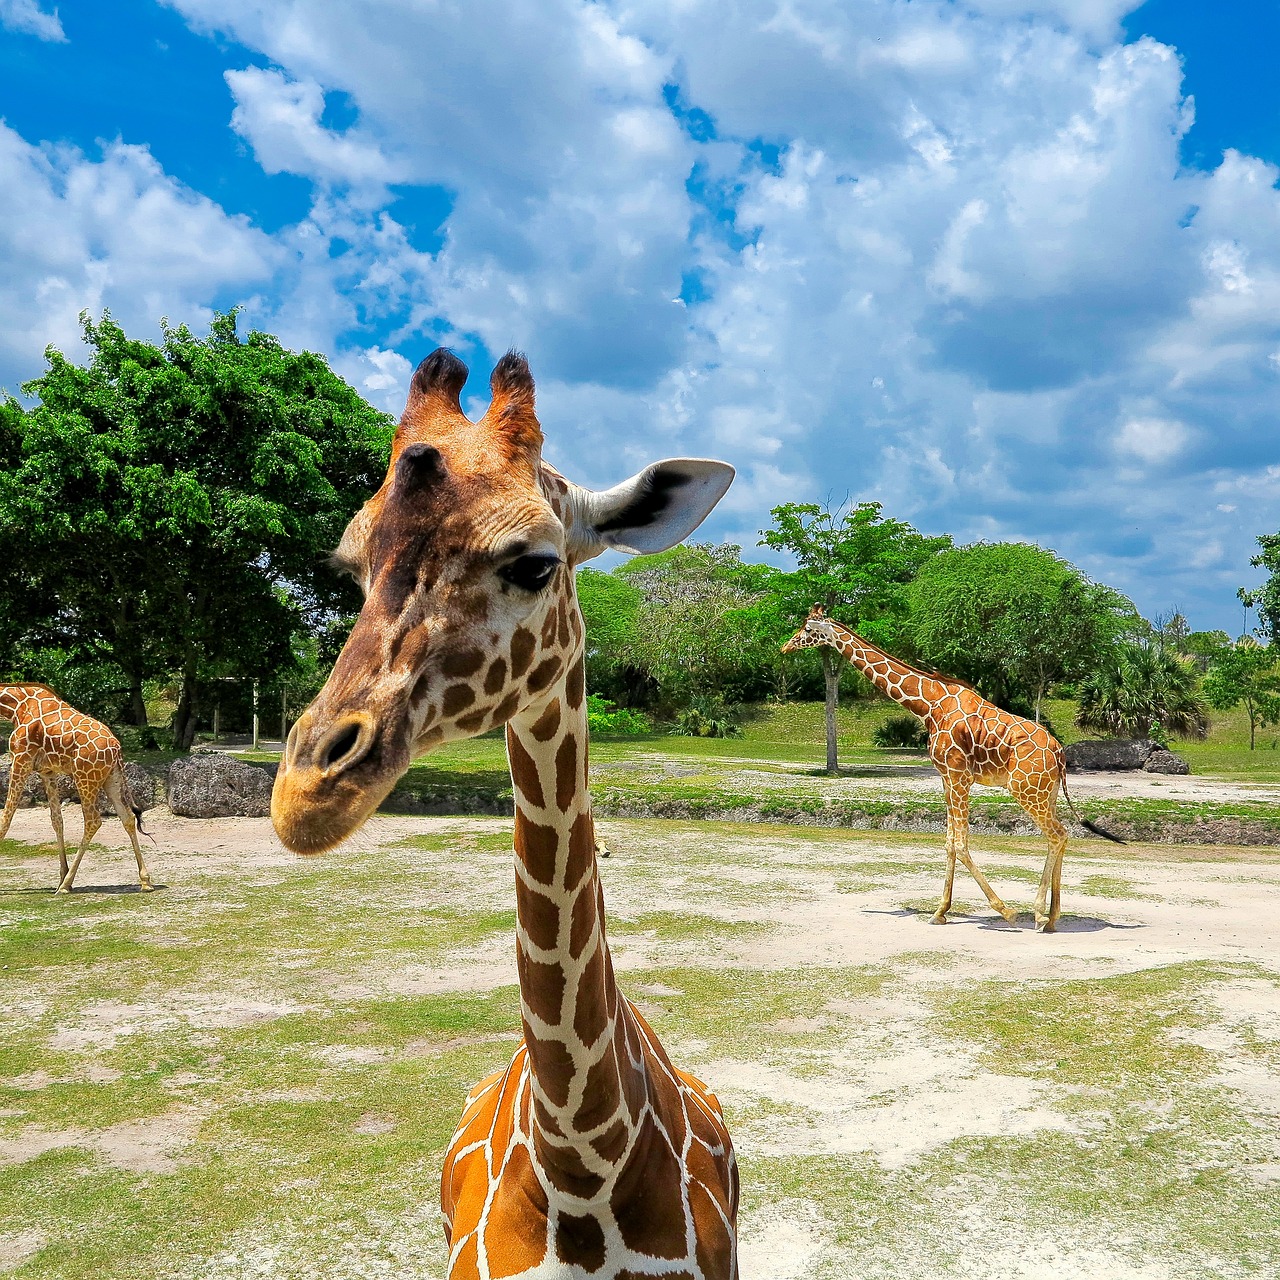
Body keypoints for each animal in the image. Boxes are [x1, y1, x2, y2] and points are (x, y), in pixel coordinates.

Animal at [0, 684, 153, 894]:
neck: (16, 706)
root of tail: (116, 749)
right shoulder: (47, 772)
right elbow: (57, 821)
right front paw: (61, 874)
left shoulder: (20, 760)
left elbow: (6, 819)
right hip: (111, 779)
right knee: (127, 817)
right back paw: (145, 881)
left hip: (85, 778)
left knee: (93, 821)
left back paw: (66, 885)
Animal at [782, 606, 1123, 932]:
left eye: (808, 629)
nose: (787, 646)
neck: (928, 706)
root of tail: (1059, 753)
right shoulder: (946, 778)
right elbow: (948, 843)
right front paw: (939, 913)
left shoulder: (959, 776)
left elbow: (960, 843)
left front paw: (1006, 911)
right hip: (1046, 792)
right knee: (1060, 836)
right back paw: (1051, 917)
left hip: (1026, 790)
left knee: (1057, 834)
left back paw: (1039, 914)